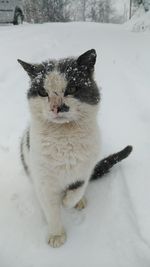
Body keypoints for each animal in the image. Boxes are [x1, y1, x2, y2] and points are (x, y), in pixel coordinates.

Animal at [17, 50, 132, 249]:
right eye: (42, 92)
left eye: (71, 89)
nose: (57, 107)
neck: (65, 141)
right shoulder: (44, 181)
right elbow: (51, 210)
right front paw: (56, 234)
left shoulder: (84, 169)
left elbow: (76, 190)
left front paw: (68, 202)